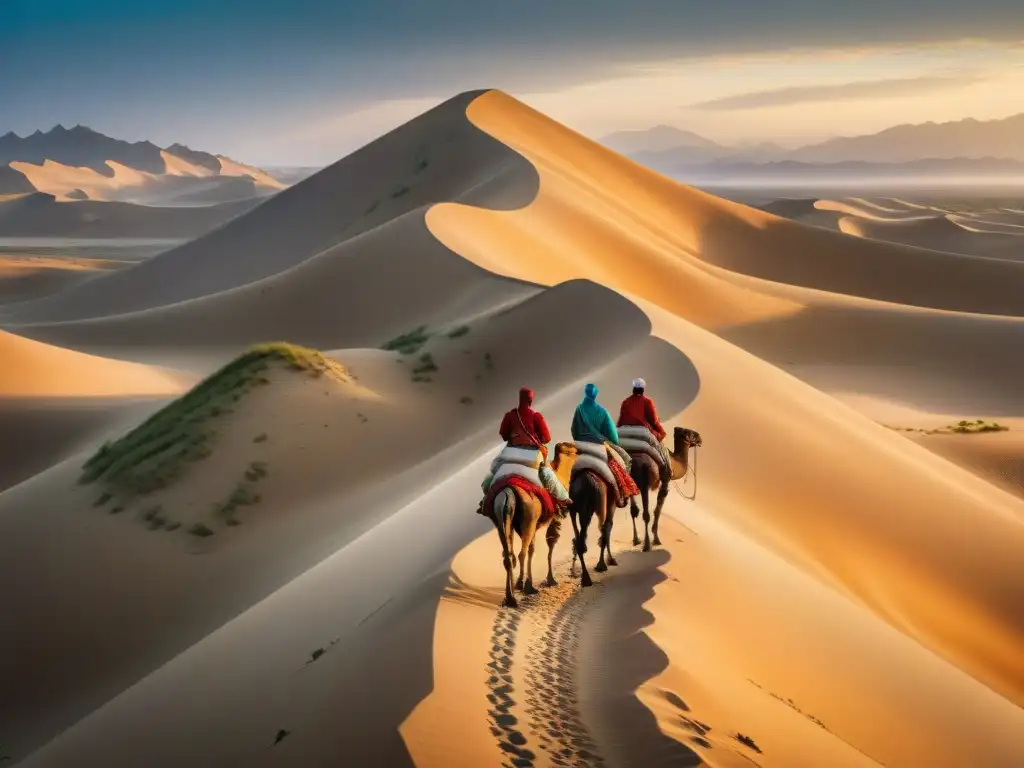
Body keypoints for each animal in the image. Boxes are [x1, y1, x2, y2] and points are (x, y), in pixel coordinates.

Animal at [487, 442, 577, 610]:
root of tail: (508, 491)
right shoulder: (543, 520)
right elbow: (541, 546)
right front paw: (542, 582)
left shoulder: (531, 526)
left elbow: (531, 549)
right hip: (529, 518)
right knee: (520, 553)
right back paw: (522, 586)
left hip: (500, 518)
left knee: (508, 555)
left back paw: (510, 598)